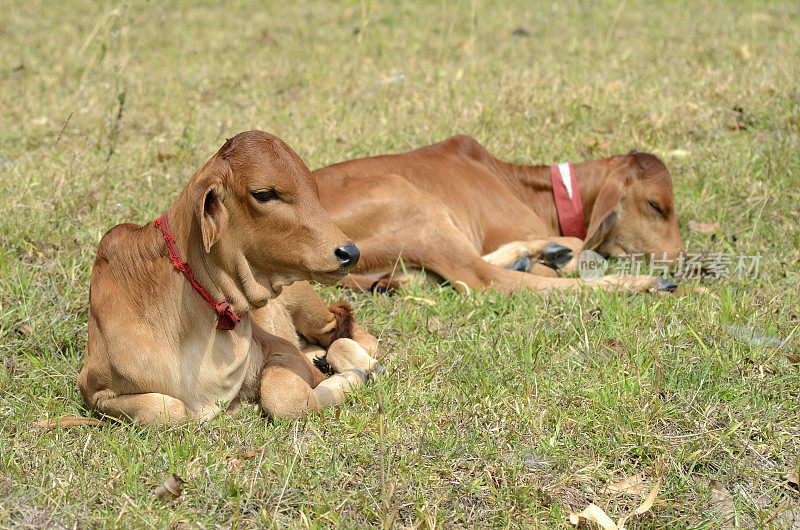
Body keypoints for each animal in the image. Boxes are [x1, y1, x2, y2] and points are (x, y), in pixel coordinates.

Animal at [78, 130, 382, 422]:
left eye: (313, 189)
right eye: (264, 193)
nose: (349, 252)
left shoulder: (282, 352)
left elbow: (286, 397)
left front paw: (348, 378)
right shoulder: (94, 391)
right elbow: (166, 409)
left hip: (310, 309)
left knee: (346, 336)